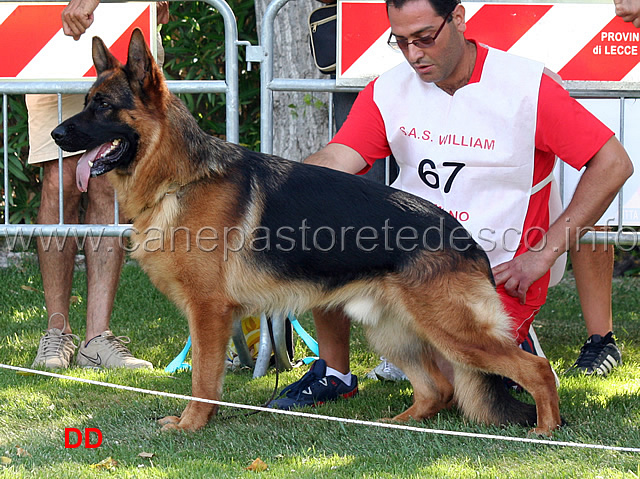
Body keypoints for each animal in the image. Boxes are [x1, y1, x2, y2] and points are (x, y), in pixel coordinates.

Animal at [51, 28, 560, 436]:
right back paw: (403, 422)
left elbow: (202, 379)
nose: (56, 135)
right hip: (393, 330)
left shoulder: (209, 312)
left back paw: (546, 430)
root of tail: (469, 243)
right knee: (437, 388)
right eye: (86, 102)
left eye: (103, 106)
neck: (182, 177)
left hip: (453, 331)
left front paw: (192, 425)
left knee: (537, 368)